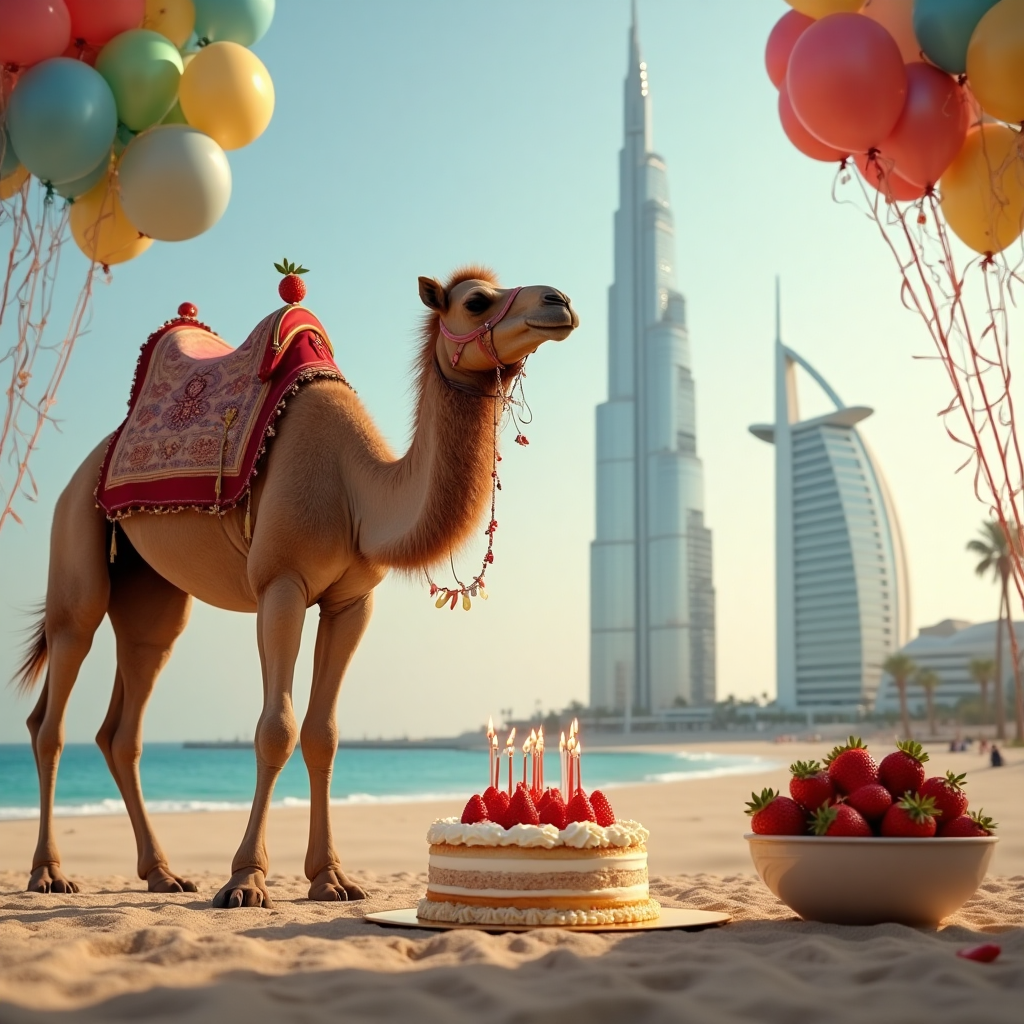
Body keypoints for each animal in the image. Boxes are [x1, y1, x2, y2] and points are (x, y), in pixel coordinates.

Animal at [14, 267, 578, 908]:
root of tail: (91, 462)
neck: (358, 490)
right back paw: (49, 873)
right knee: (53, 710)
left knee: (124, 719)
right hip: (74, 539)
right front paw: (245, 880)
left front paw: (331, 879)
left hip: (152, 593)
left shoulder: (351, 601)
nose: (559, 301)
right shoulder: (280, 585)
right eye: (476, 300)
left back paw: (163, 873)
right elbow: (275, 729)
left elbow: (322, 733)